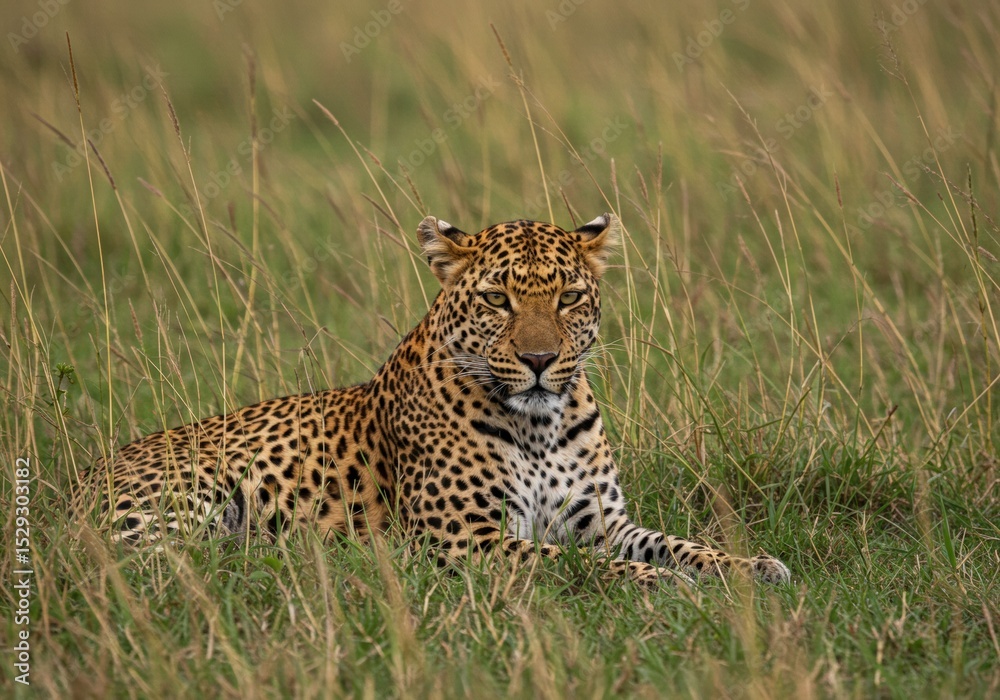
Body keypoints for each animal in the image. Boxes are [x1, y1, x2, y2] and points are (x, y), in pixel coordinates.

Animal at [82, 213, 790, 587]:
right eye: (497, 299)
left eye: (568, 298)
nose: (539, 362)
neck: (541, 426)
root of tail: (80, 479)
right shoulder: (464, 538)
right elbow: (573, 563)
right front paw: (664, 584)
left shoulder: (602, 521)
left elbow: (677, 542)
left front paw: (750, 566)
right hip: (186, 498)